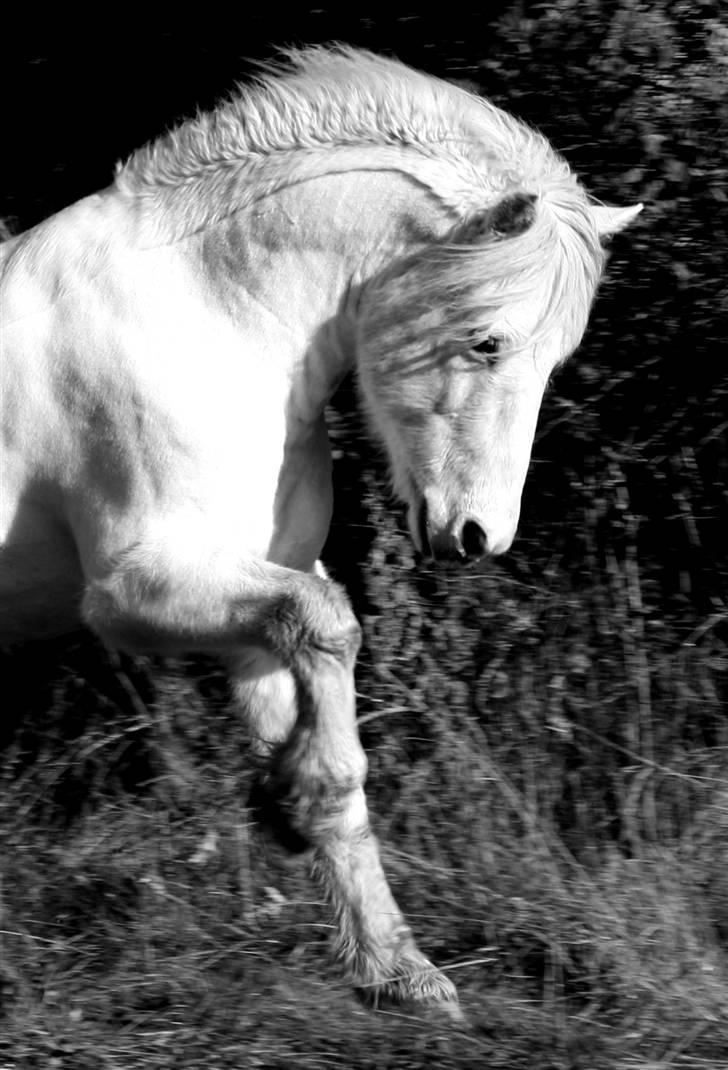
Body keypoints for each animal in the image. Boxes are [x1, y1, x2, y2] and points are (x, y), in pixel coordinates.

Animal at [0, 43, 638, 1010]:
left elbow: (336, 736)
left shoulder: (248, 612)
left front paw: (398, 969)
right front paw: (290, 816)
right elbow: (332, 627)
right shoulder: (134, 593)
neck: (206, 321)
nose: (480, 536)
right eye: (487, 341)